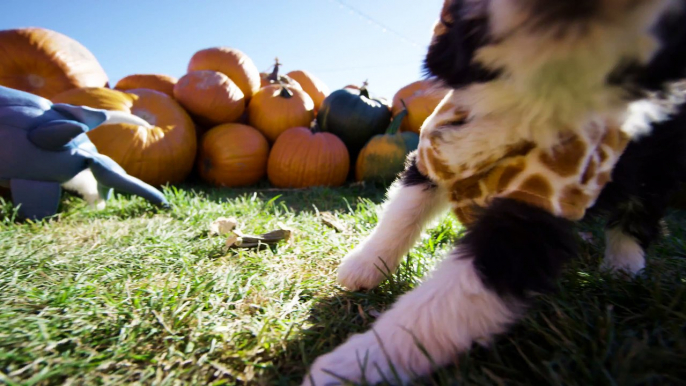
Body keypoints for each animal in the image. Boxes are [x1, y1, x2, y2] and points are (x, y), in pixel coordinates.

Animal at [306, 1, 686, 384]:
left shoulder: (536, 211)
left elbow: (450, 299)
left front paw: (353, 364)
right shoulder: (433, 154)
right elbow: (401, 214)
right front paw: (363, 266)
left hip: (659, 159)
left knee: (640, 210)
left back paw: (623, 265)